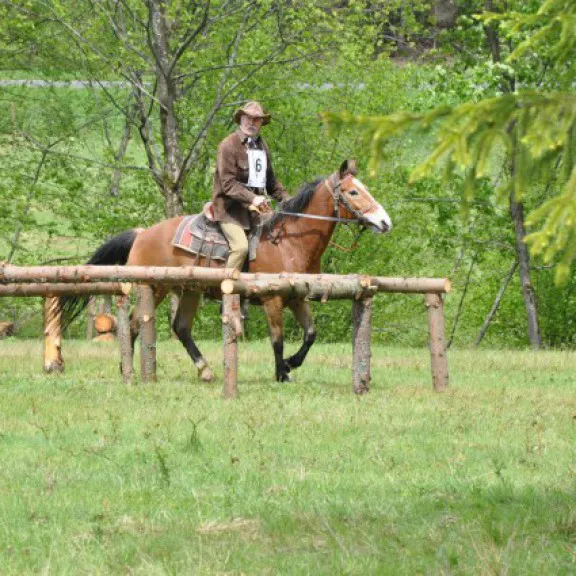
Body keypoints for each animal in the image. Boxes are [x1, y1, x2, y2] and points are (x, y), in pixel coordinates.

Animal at [60, 160, 390, 382]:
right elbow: (277, 338)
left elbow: (310, 334)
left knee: (181, 328)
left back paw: (205, 370)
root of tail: (142, 233)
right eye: (353, 192)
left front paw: (290, 364)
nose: (384, 222)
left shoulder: (297, 297)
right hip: (154, 287)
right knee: (133, 325)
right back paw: (127, 369)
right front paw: (281, 372)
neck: (288, 242)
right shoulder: (272, 300)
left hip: (188, 291)